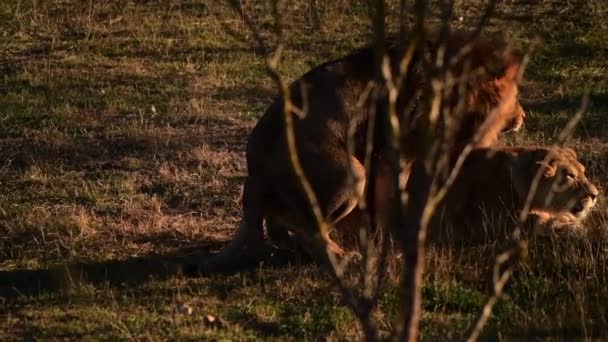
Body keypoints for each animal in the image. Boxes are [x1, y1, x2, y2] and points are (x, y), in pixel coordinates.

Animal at [196, 30, 528, 274]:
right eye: (516, 96)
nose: (523, 116)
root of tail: (253, 176)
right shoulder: (392, 155)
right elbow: (390, 203)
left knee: (283, 229)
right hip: (352, 171)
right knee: (309, 231)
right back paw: (344, 258)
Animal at [432, 146, 600, 242]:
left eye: (583, 172)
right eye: (570, 176)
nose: (595, 195)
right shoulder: (489, 223)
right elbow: (536, 220)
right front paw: (576, 229)